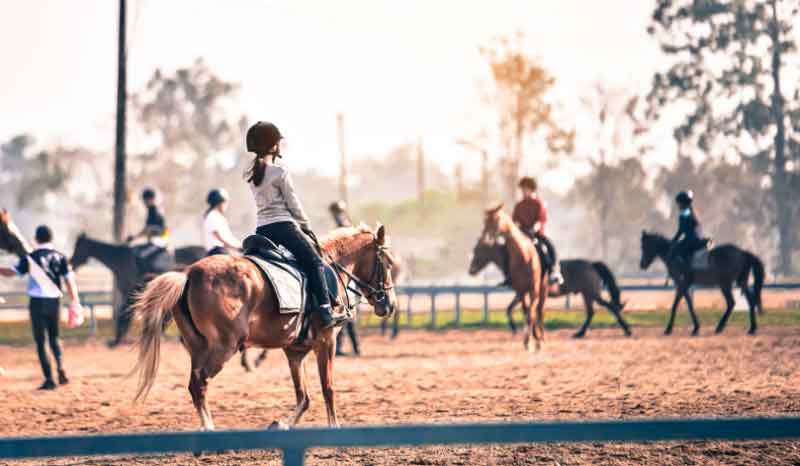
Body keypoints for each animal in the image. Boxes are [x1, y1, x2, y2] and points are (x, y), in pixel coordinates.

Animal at [131, 225, 400, 430]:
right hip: (223, 348)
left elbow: (304, 397)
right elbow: (328, 389)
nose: (390, 304)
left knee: (195, 386)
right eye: (387, 264)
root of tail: (189, 273)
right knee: (200, 383)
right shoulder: (326, 343)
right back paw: (208, 429)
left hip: (197, 348)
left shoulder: (295, 352)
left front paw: (281, 425)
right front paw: (334, 427)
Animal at [468, 238, 632, 336]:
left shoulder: (523, 293)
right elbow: (510, 309)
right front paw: (516, 329)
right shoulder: (521, 294)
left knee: (610, 307)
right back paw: (580, 333)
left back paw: (627, 329)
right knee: (591, 312)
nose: (472, 270)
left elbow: (521, 310)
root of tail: (592, 264)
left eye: (479, 251)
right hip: (587, 294)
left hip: (592, 293)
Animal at [478, 205, 548, 350]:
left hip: (543, 288)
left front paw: (531, 340)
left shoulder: (533, 289)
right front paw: (529, 339)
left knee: (540, 311)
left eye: (496, 219)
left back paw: (541, 339)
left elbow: (531, 314)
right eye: (485, 221)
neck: (524, 257)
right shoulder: (520, 291)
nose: (485, 238)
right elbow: (525, 311)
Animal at [636, 230, 764, 334]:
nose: (642, 265)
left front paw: (669, 329)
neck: (672, 254)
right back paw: (751, 328)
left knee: (732, 303)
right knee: (750, 301)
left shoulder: (682, 283)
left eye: (644, 246)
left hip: (725, 284)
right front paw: (696, 327)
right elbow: (689, 303)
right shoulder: (684, 285)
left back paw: (720, 327)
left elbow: (676, 304)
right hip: (740, 282)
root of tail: (743, 252)